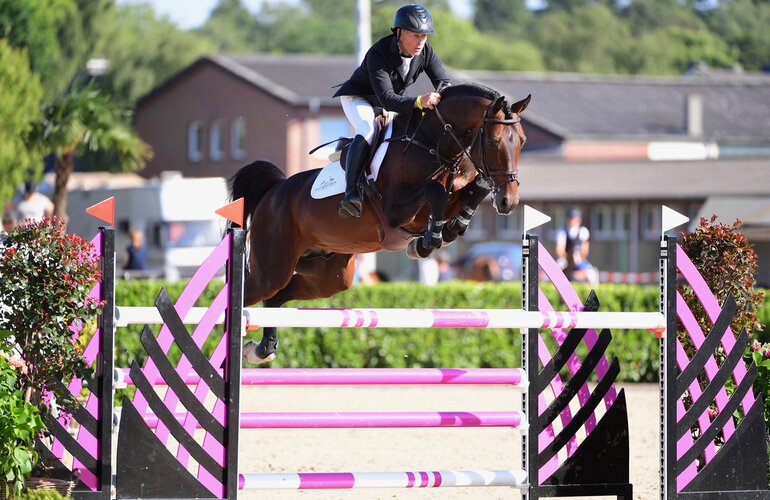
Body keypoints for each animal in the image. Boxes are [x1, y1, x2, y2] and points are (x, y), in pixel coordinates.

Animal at [229, 82, 531, 363]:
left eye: (522, 141)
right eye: (493, 143)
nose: (509, 201)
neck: (433, 144)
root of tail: (274, 191)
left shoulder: (454, 191)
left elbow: (474, 188)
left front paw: (447, 231)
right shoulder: (395, 210)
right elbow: (436, 191)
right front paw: (428, 241)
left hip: (327, 275)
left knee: (277, 297)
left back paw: (262, 349)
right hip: (272, 268)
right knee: (254, 292)